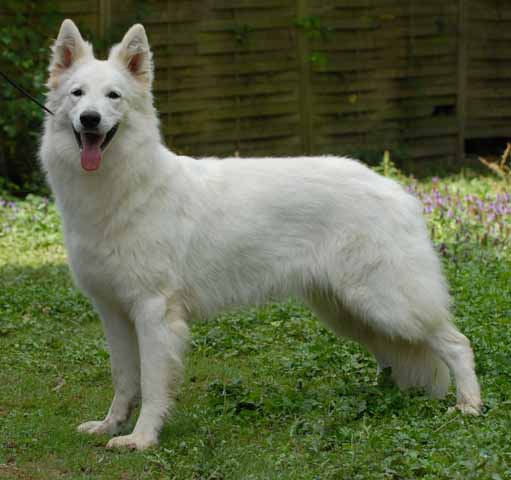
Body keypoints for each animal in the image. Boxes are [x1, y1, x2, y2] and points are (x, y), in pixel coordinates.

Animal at [41, 19, 484, 450]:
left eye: (113, 96)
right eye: (78, 94)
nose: (90, 119)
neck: (123, 189)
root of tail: (398, 190)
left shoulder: (153, 313)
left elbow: (151, 385)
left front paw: (143, 438)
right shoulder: (114, 313)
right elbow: (123, 379)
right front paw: (111, 426)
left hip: (388, 303)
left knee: (457, 343)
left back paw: (469, 406)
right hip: (350, 311)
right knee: (397, 353)